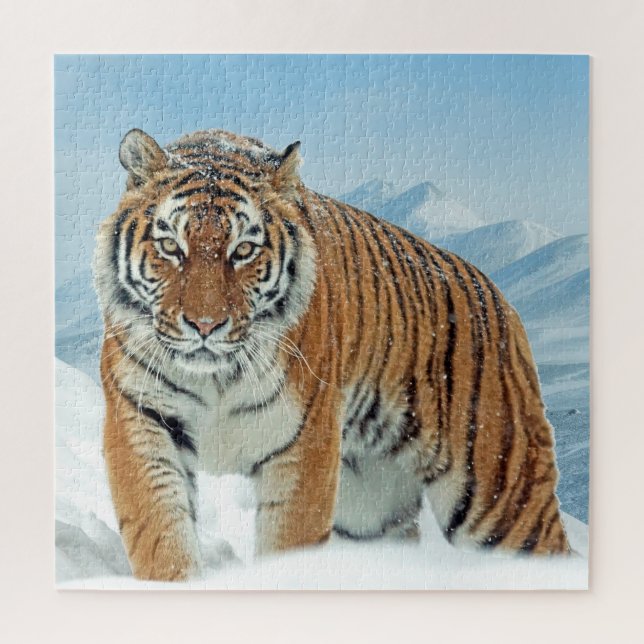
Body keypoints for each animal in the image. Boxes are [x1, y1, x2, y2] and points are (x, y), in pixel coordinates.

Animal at [94, 127, 570, 581]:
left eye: (243, 250)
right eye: (171, 247)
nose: (205, 325)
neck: (216, 378)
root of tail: (501, 299)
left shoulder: (304, 442)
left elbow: (289, 544)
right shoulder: (141, 419)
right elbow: (160, 532)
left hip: (502, 494)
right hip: (371, 509)